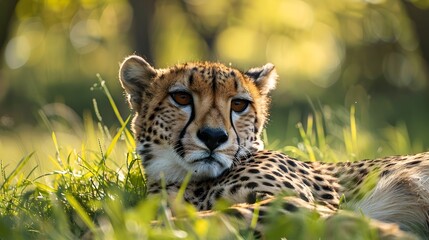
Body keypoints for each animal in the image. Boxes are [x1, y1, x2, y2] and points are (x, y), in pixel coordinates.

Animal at [118, 55, 428, 239]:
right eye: (181, 98)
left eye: (239, 104)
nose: (214, 137)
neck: (190, 183)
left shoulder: (298, 201)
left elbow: (232, 211)